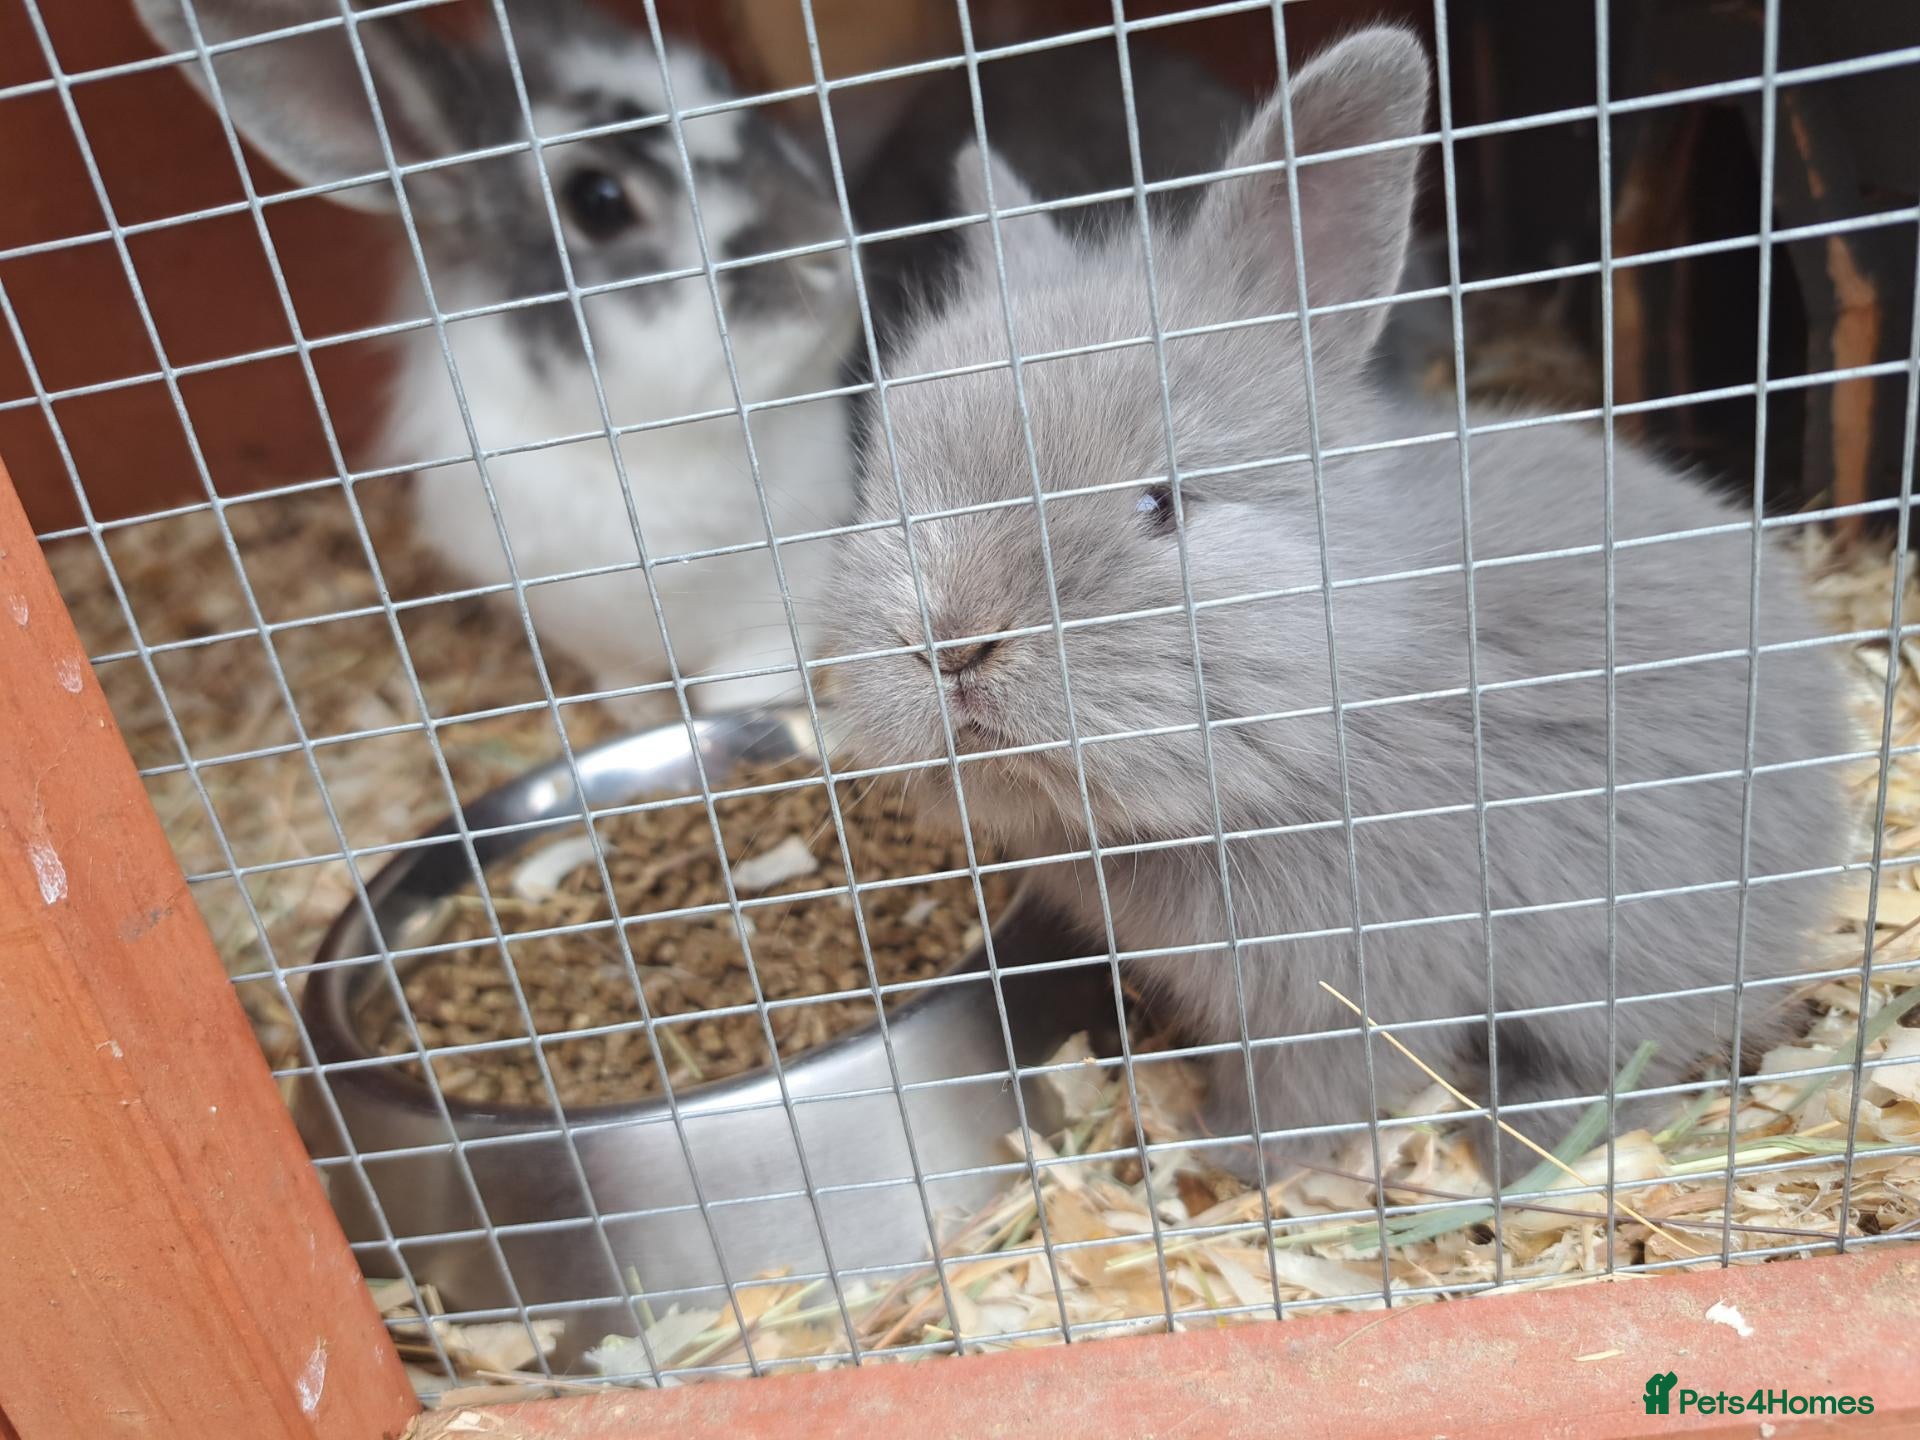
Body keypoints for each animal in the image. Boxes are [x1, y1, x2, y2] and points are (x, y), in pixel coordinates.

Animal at [132, 0, 860, 717]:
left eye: (720, 83)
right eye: (597, 200)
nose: (825, 243)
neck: (649, 451)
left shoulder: (774, 619)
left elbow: (743, 694)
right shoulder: (598, 647)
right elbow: (633, 704)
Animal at [824, 26, 1854, 1180]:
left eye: (1160, 504)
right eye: (883, 486)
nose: (949, 643)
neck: (1337, 681)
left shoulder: (1344, 991)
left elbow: (1313, 1094)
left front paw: (1225, 1156)